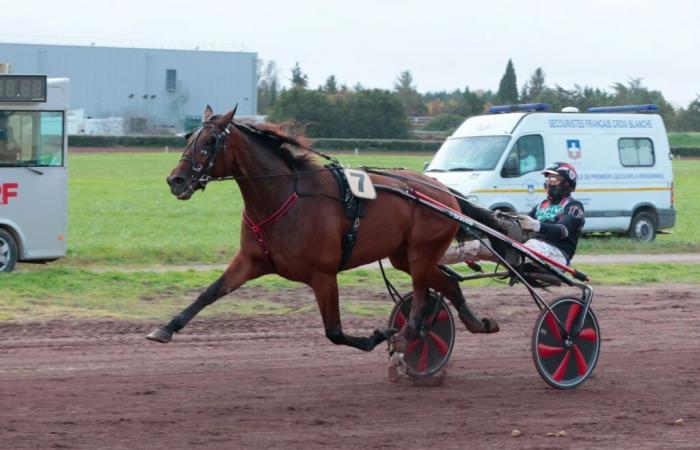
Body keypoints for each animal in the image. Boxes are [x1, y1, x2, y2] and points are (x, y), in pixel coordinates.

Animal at [146, 106, 498, 358]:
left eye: (209, 142)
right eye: (188, 138)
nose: (175, 180)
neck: (285, 196)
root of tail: (445, 191)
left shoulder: (323, 275)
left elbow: (335, 331)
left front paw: (378, 335)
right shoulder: (250, 260)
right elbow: (209, 293)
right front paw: (164, 329)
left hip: (422, 251)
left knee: (423, 299)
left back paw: (408, 335)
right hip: (405, 256)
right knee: (447, 284)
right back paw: (477, 323)